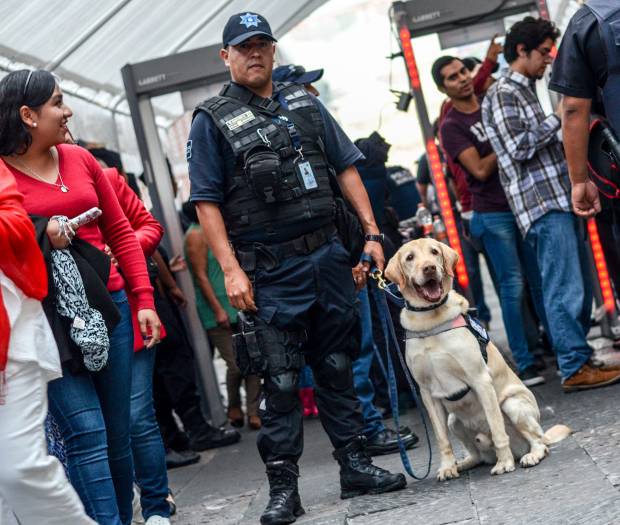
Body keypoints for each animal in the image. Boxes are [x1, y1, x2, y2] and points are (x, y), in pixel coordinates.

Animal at [386, 237, 568, 478]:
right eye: (410, 257)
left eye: (434, 252)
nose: (429, 268)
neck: (430, 320)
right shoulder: (427, 394)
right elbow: (442, 439)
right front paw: (447, 467)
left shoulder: (480, 380)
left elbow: (497, 429)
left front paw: (504, 463)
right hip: (453, 420)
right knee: (476, 454)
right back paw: (463, 463)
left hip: (512, 404)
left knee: (539, 441)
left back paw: (529, 455)